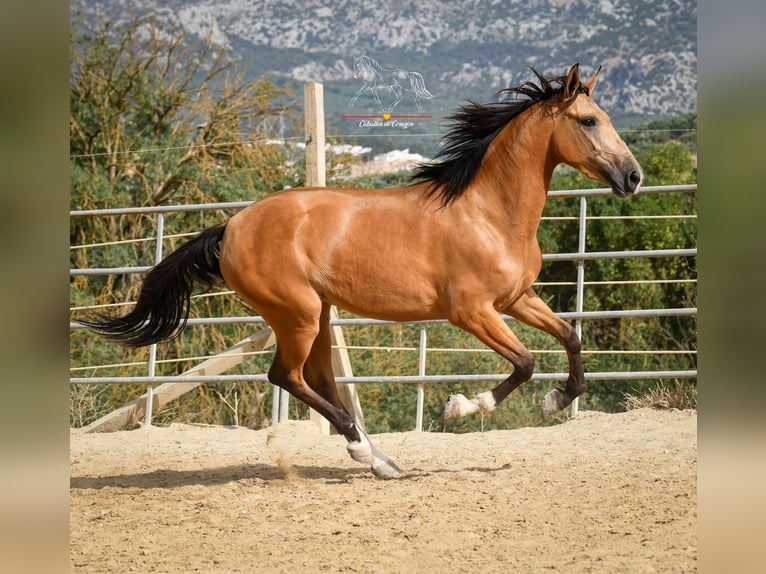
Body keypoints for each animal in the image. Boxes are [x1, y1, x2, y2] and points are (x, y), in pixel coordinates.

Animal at [82, 63, 640, 480]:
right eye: (588, 121)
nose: (633, 177)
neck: (488, 213)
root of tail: (232, 226)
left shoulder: (517, 298)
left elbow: (570, 336)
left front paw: (556, 400)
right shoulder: (471, 312)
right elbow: (524, 362)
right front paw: (460, 406)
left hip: (318, 314)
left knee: (318, 379)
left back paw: (378, 457)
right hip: (298, 313)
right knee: (286, 375)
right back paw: (368, 455)